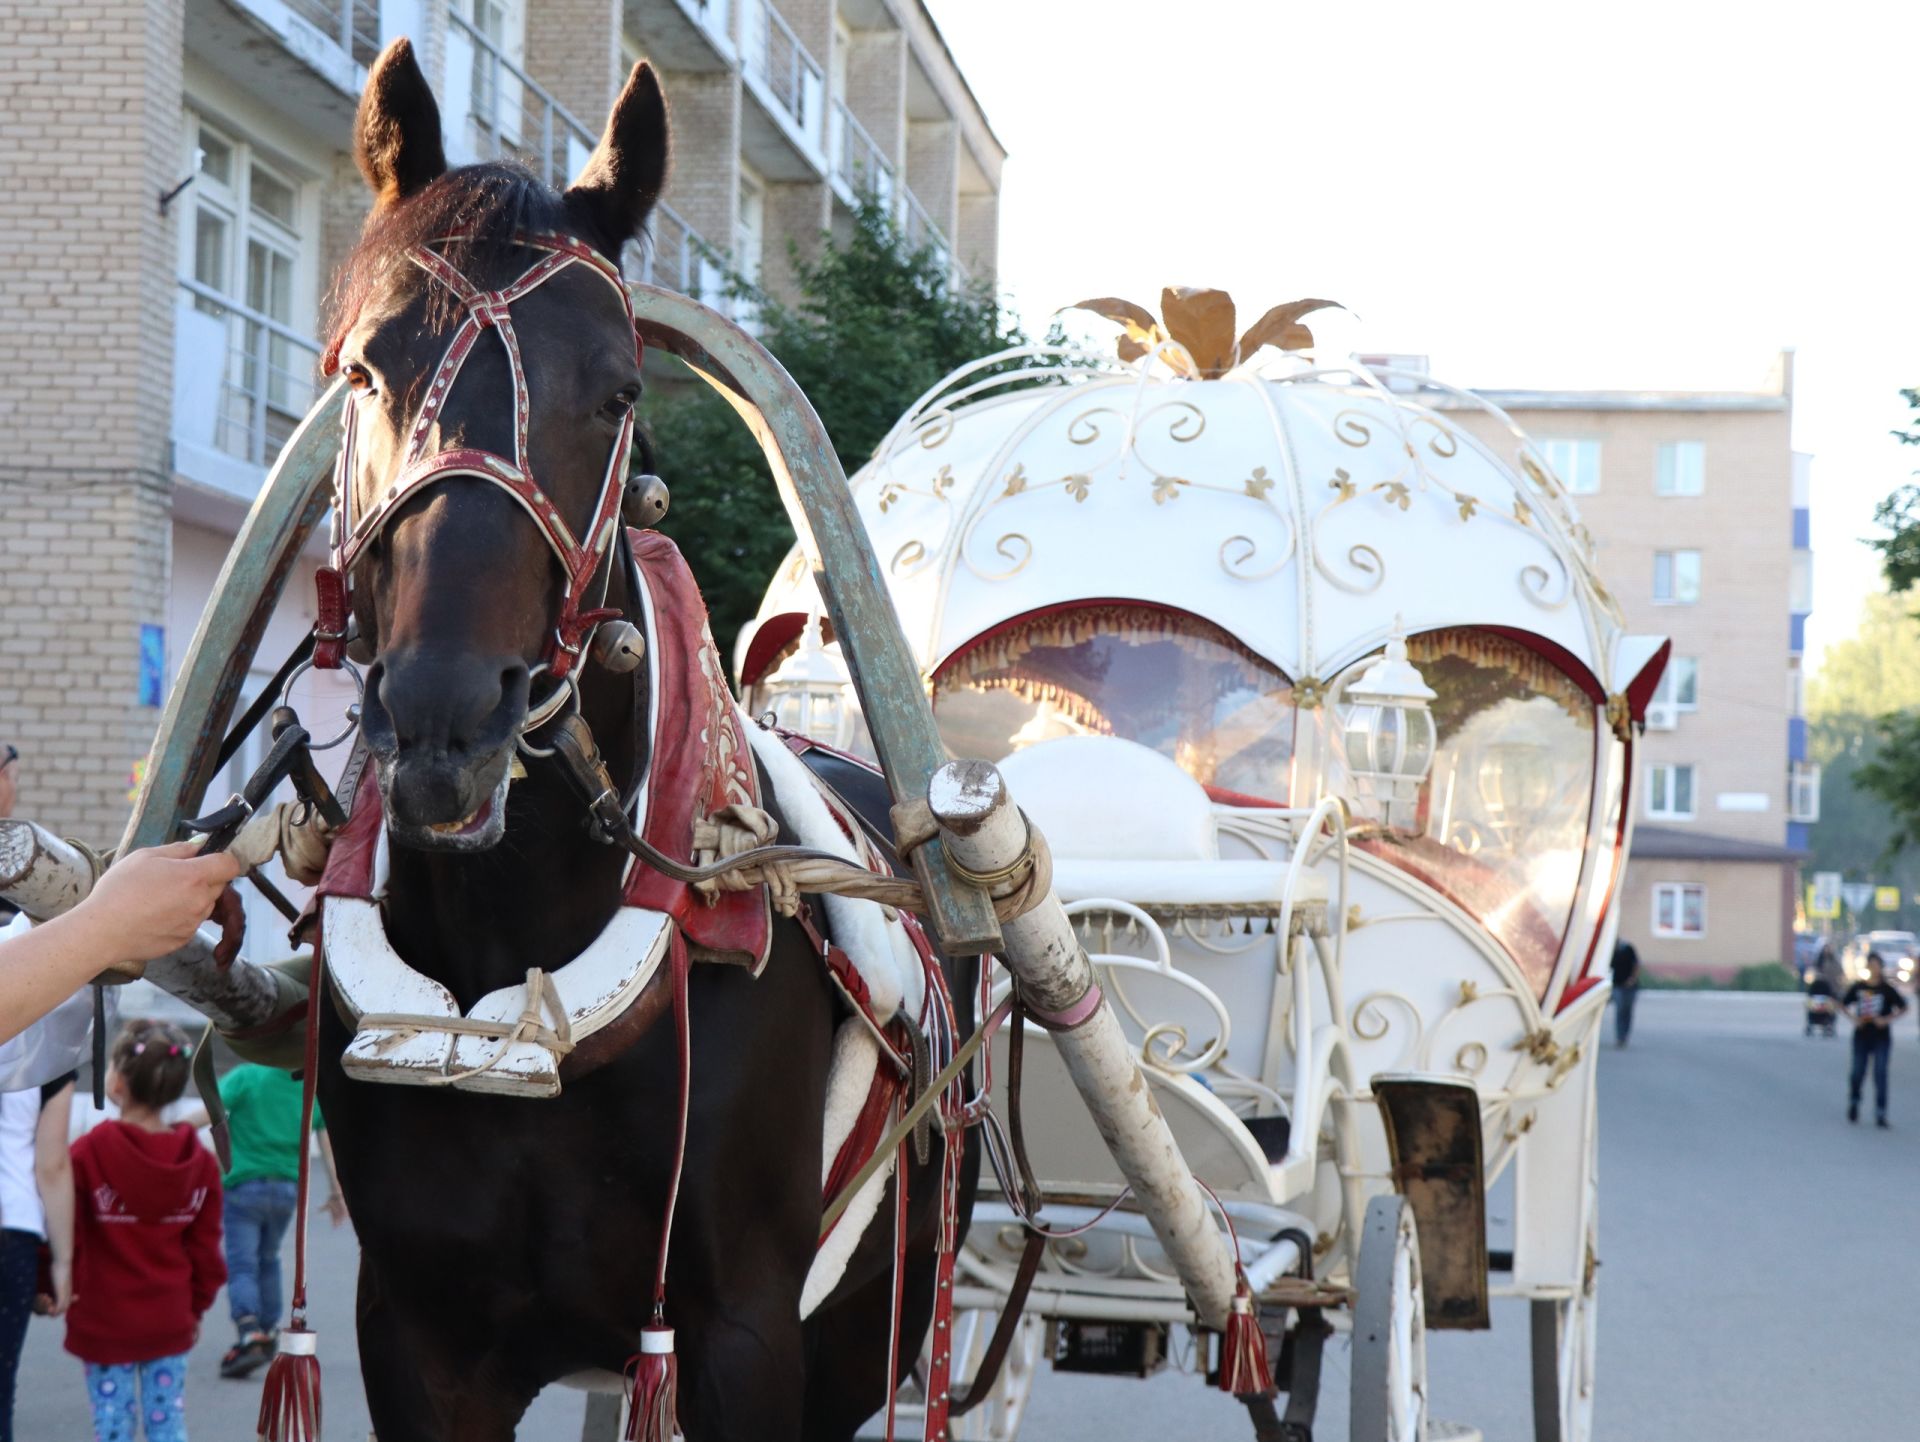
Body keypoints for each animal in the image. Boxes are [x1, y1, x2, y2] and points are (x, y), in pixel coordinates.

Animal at [312, 39, 983, 1436]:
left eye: (618, 389)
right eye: (363, 370)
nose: (446, 718)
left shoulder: (743, 1334)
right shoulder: (416, 1334)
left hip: (873, 1314)